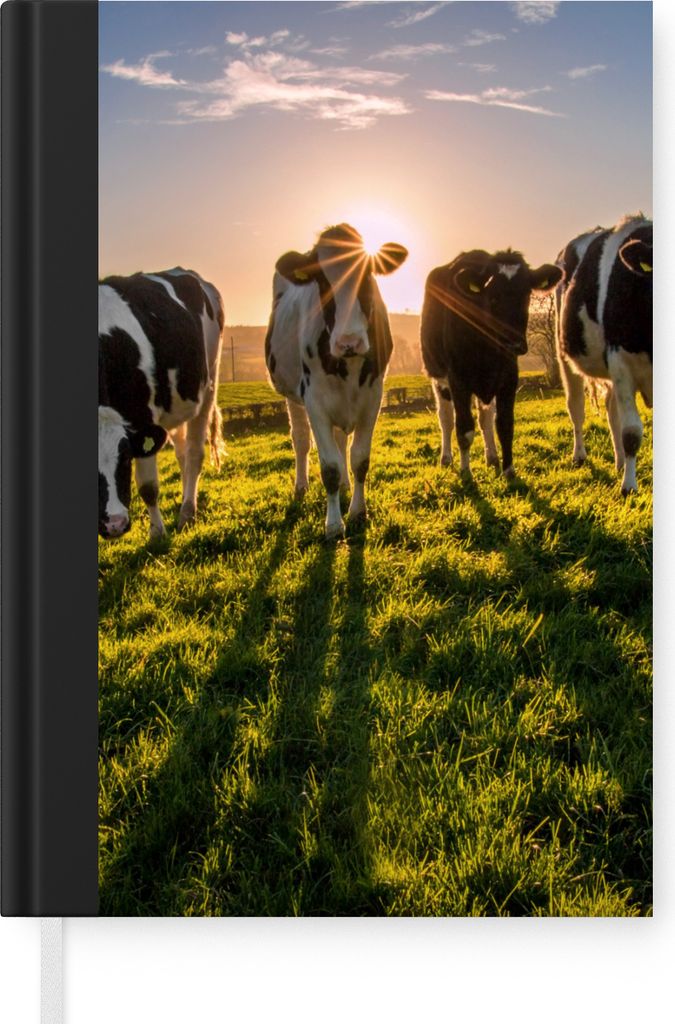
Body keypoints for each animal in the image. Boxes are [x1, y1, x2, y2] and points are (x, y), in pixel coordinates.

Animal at [98, 267, 225, 539]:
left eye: (126, 457)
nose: (114, 525)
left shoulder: (142, 418)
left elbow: (148, 487)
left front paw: (157, 534)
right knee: (182, 453)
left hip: (209, 381)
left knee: (194, 453)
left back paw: (187, 511)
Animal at [265, 223, 408, 539]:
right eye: (321, 280)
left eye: (368, 275)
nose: (348, 342)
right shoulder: (314, 401)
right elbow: (329, 466)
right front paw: (333, 524)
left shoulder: (372, 397)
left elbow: (360, 459)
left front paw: (357, 512)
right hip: (292, 395)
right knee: (301, 441)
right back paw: (301, 486)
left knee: (342, 440)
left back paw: (344, 485)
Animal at [420, 250, 563, 479]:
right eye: (493, 297)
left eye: (526, 295)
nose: (514, 343)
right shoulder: (458, 380)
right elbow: (464, 428)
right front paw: (466, 473)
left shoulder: (508, 379)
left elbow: (504, 425)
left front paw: (509, 471)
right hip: (437, 375)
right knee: (446, 419)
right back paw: (446, 458)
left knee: (485, 418)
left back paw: (492, 457)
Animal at [555, 214, 653, 494]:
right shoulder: (621, 362)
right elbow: (631, 432)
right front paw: (629, 486)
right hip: (565, 356)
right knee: (576, 407)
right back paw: (579, 455)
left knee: (612, 412)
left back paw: (620, 462)